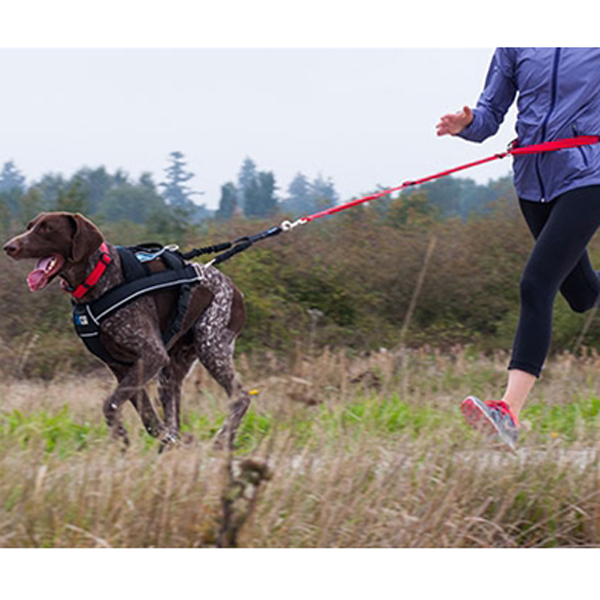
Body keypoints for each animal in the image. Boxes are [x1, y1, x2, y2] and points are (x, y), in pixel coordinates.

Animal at [3, 211, 250, 450]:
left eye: (47, 228)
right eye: (30, 227)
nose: (8, 247)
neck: (98, 277)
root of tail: (237, 292)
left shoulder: (151, 355)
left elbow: (110, 404)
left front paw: (121, 442)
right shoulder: (121, 366)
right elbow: (149, 419)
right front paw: (135, 442)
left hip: (210, 346)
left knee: (241, 397)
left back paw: (221, 440)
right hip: (169, 373)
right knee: (175, 421)